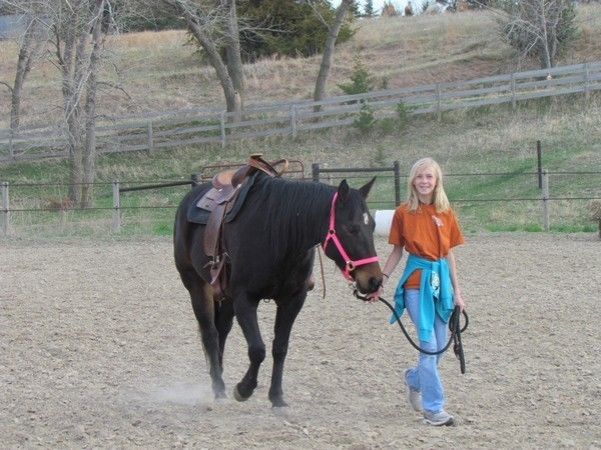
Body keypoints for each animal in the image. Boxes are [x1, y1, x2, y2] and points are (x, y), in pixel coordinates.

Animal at [171, 163, 382, 408]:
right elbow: (257, 349)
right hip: (196, 285)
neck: (280, 233)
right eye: (350, 228)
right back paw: (218, 387)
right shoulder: (245, 299)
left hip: (226, 296)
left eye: (373, 225)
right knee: (209, 333)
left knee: (222, 329)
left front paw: (277, 397)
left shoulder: (293, 299)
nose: (374, 280)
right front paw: (244, 389)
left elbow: (280, 348)